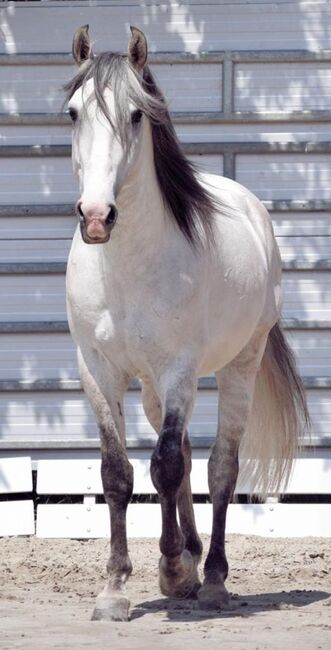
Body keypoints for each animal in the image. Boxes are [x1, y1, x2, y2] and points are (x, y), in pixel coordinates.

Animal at [65, 27, 308, 620]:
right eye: (73, 112)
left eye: (135, 115)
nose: (97, 217)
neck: (124, 268)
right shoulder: (97, 371)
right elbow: (119, 473)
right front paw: (115, 589)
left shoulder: (178, 369)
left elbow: (167, 468)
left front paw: (173, 570)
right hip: (154, 387)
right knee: (185, 457)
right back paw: (192, 560)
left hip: (237, 366)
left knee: (219, 466)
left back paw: (212, 577)